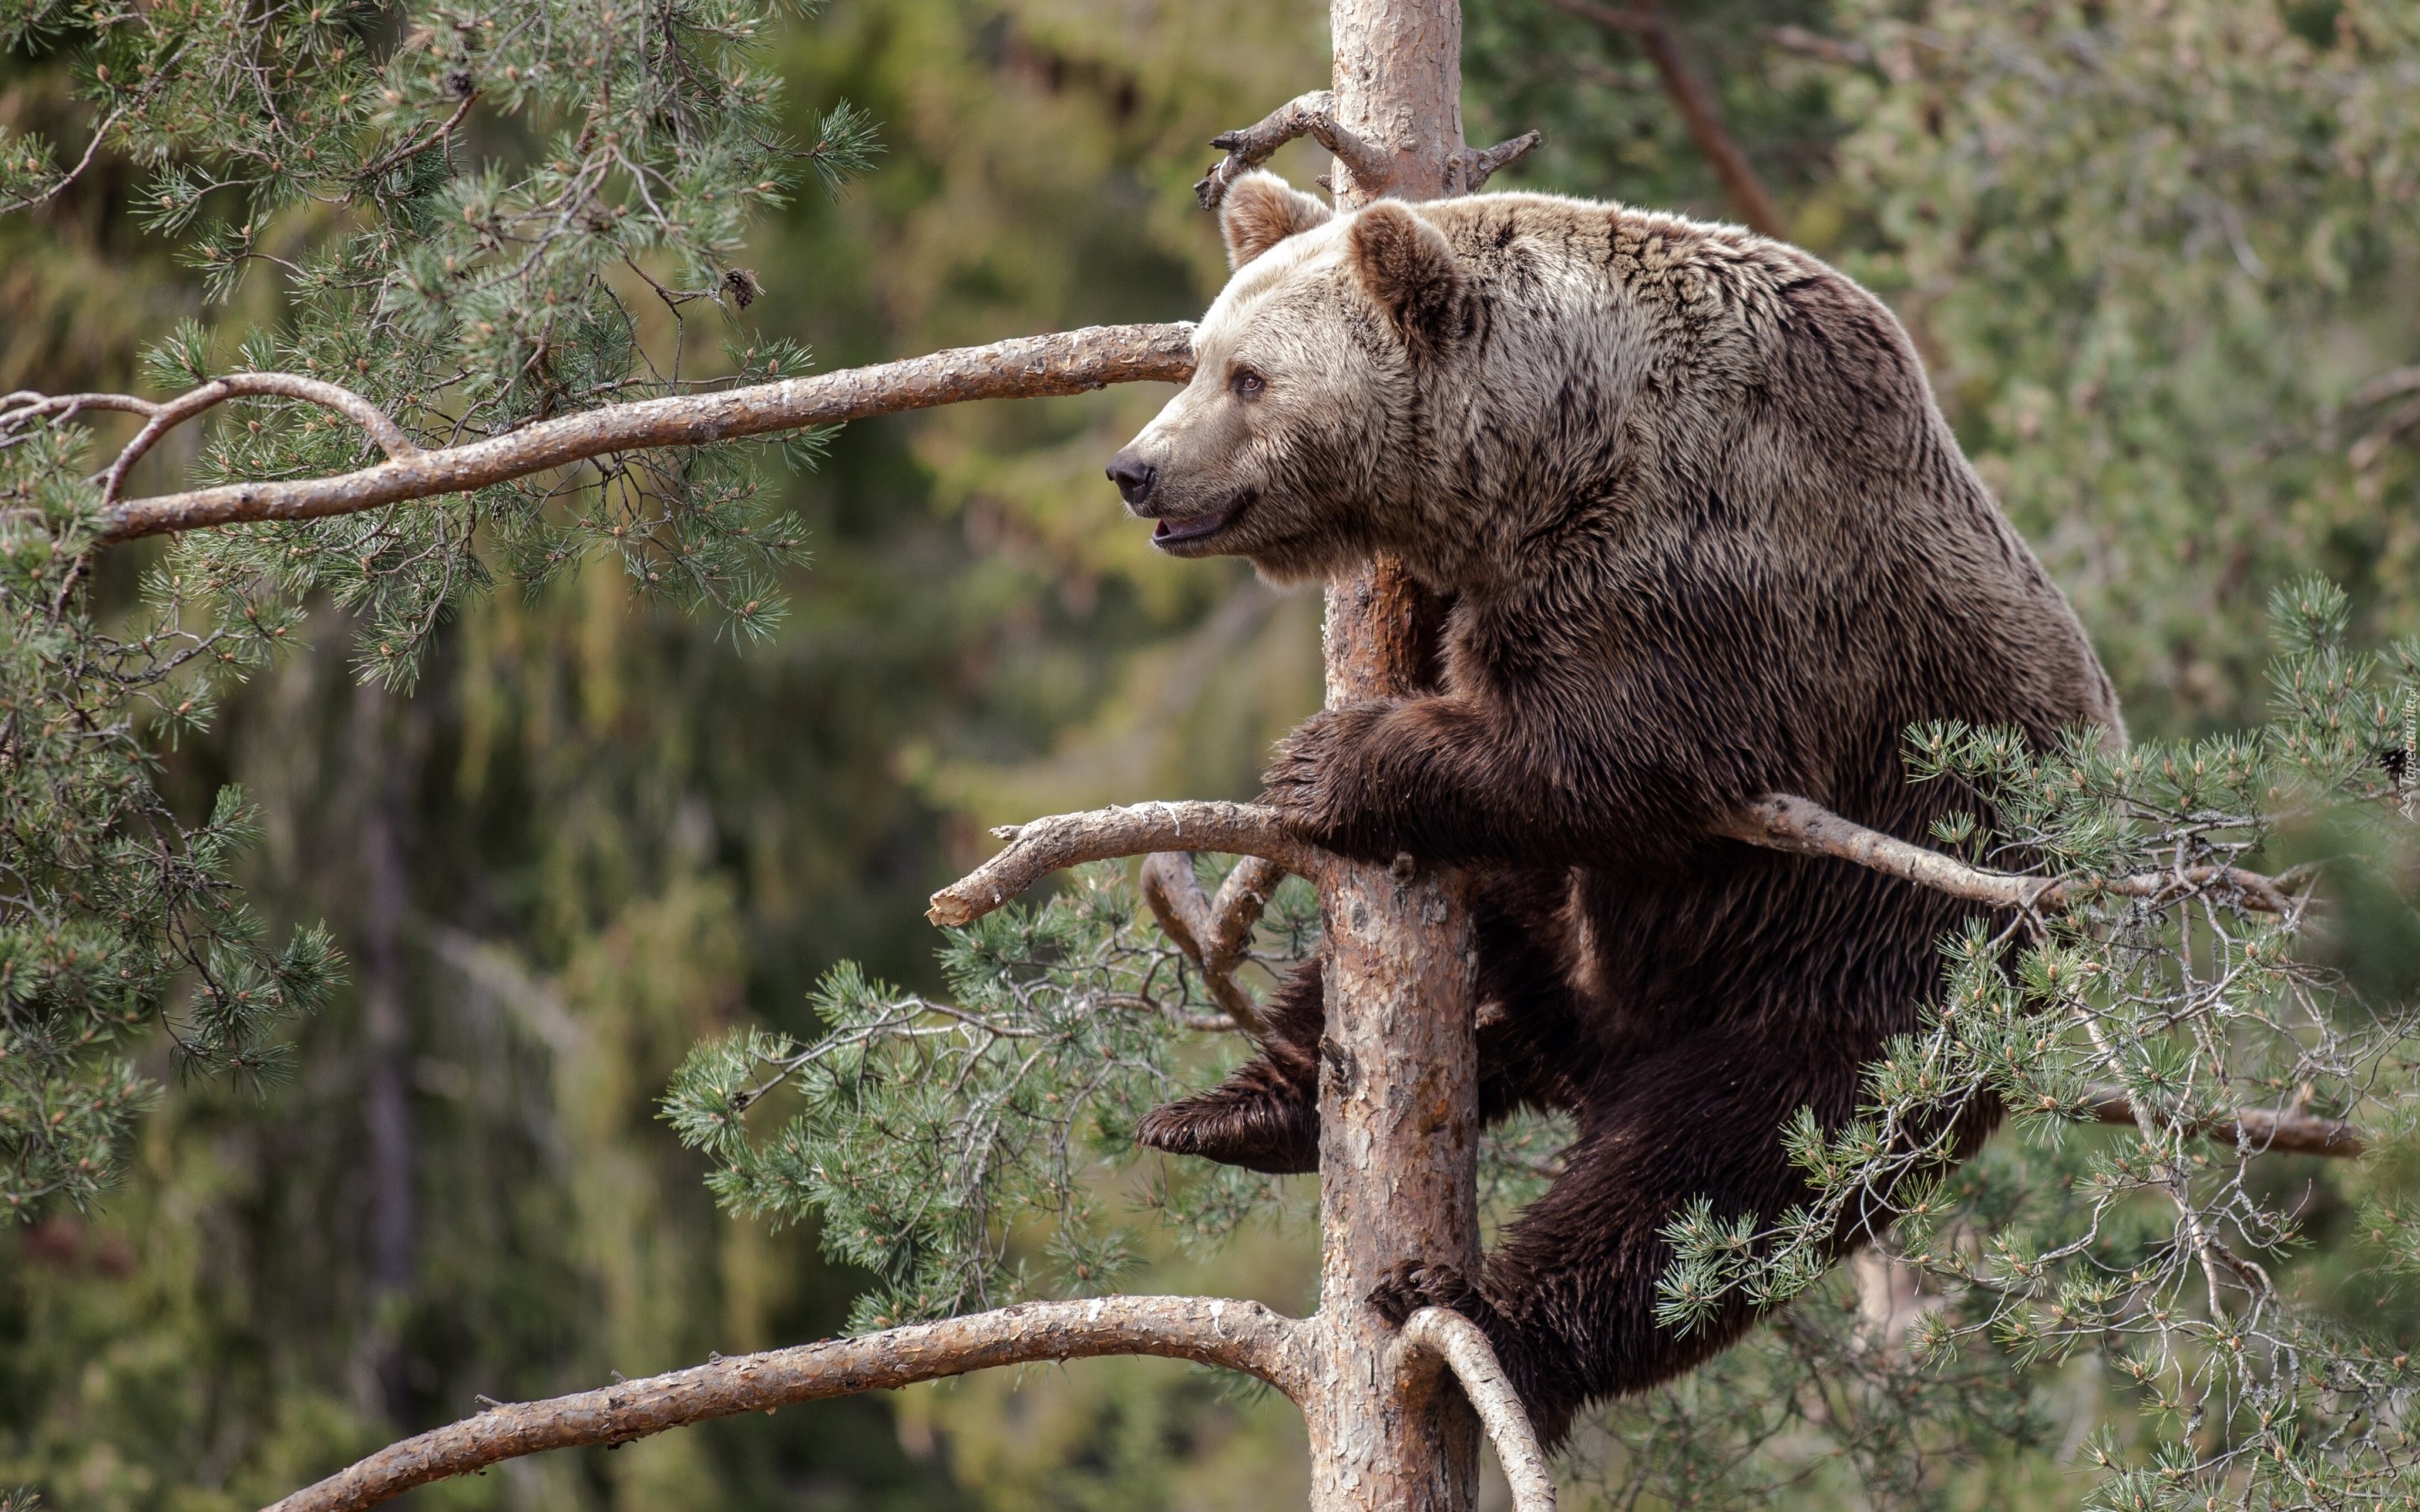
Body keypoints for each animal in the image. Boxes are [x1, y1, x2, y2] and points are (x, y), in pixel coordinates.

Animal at [1108, 171, 2110, 1441]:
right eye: (1198, 357)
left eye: (1250, 377)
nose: (1135, 469)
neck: (1552, 449)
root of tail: (1601, 1050)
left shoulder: (1707, 565)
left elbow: (1626, 750)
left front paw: (1326, 760)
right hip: (1595, 940)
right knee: (1455, 964)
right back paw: (1241, 1108)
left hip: (1880, 970)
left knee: (1709, 1182)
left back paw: (1483, 1315)